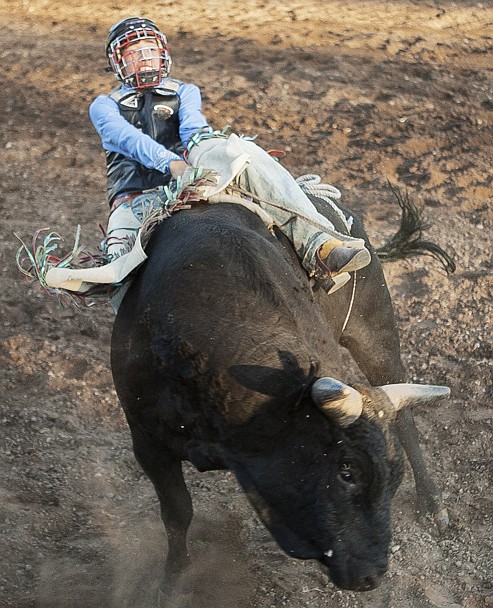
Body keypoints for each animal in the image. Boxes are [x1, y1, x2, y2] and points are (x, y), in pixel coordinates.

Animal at [111, 197, 450, 596]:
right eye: (347, 471)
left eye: (394, 480)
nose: (374, 574)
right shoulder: (146, 439)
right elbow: (177, 514)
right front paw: (170, 583)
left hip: (375, 331)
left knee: (406, 421)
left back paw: (433, 505)